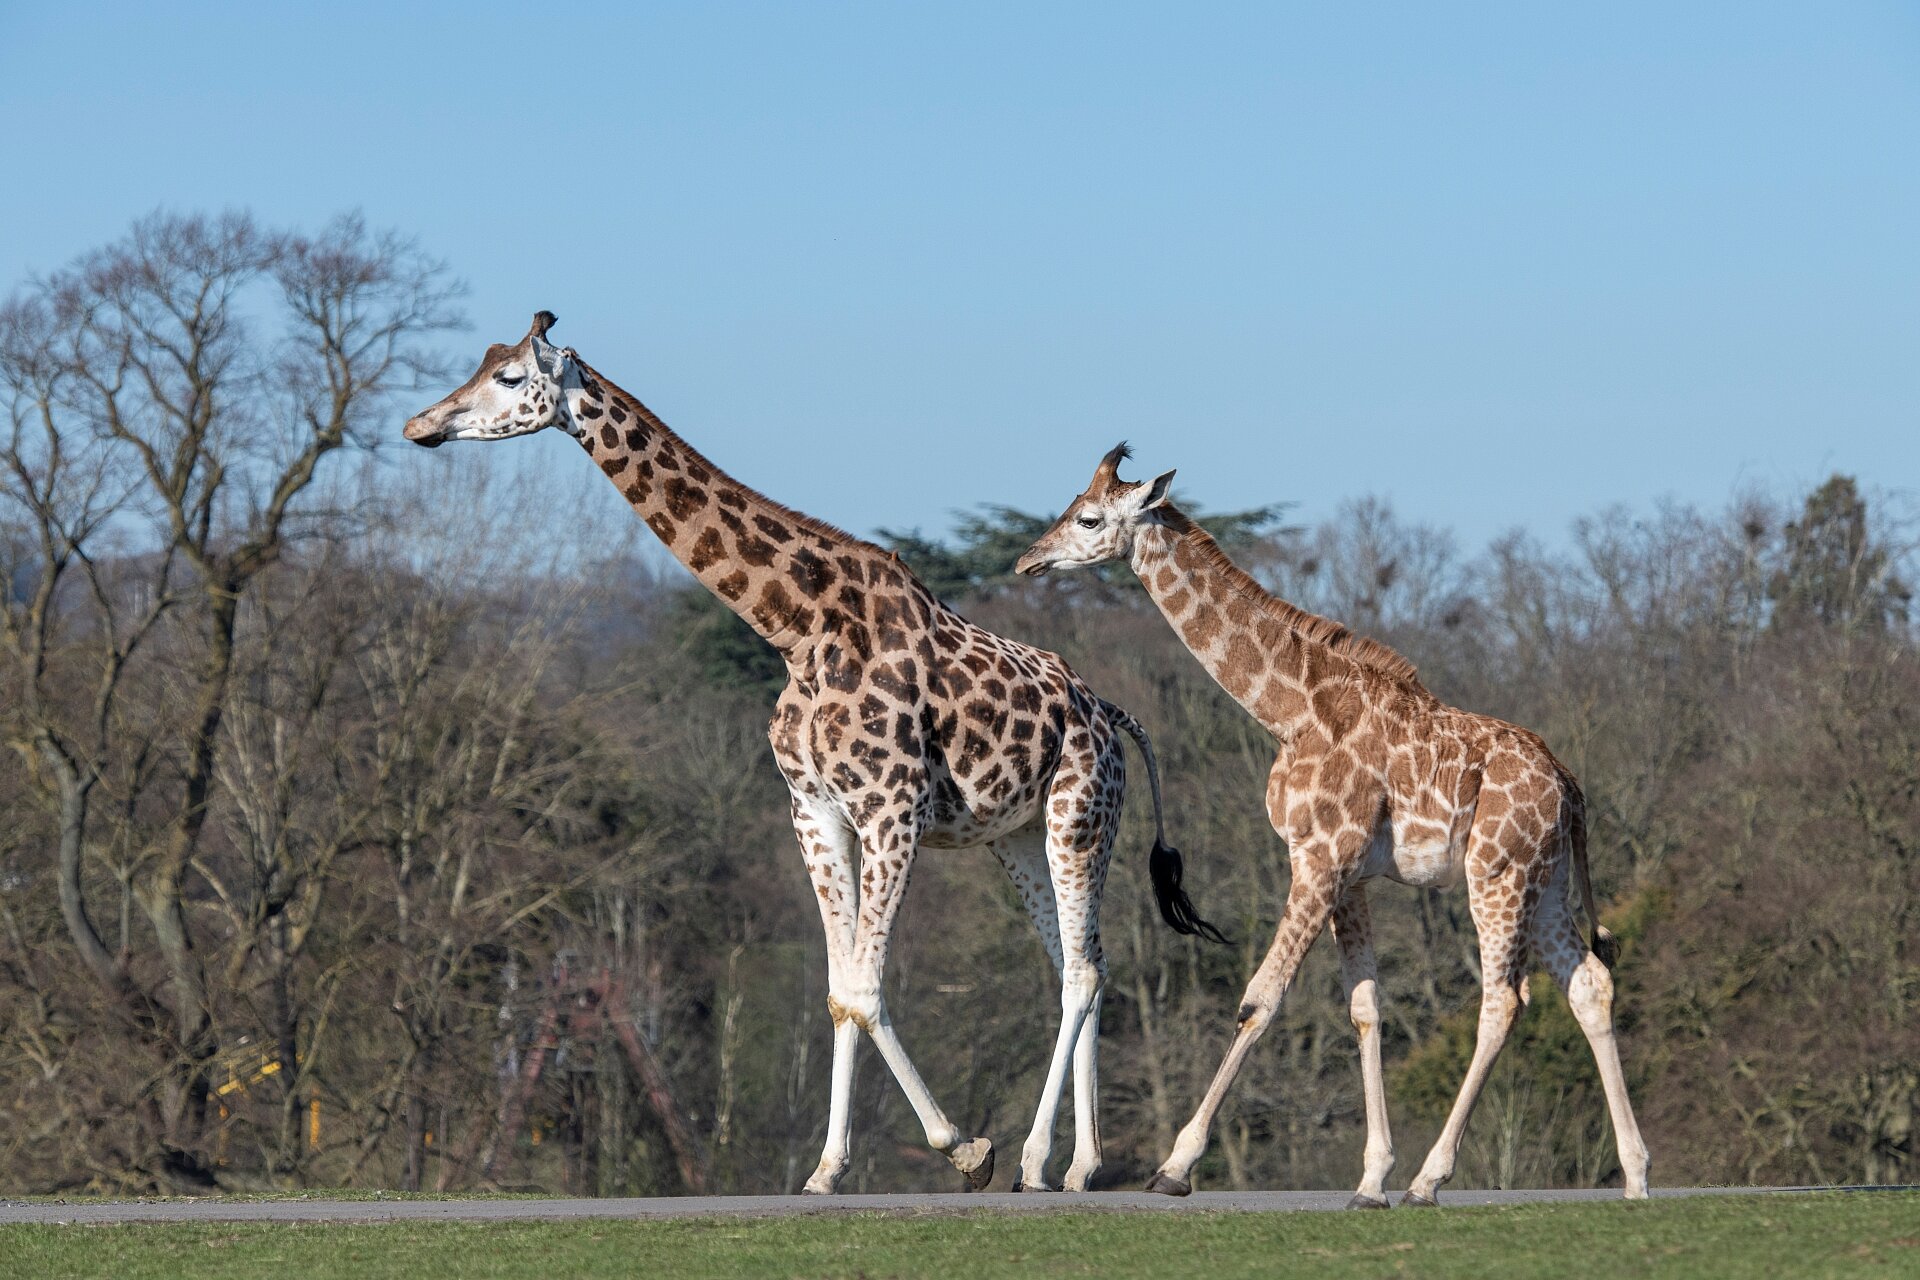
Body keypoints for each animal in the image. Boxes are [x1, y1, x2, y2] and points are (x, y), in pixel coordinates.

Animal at [401, 318, 1228, 1189]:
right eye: (480, 364)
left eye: (510, 376)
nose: (420, 425)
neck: (796, 629)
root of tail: (1111, 713)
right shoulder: (817, 813)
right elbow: (839, 993)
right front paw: (828, 1169)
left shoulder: (893, 810)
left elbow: (864, 987)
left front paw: (966, 1148)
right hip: (1016, 838)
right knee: (1080, 961)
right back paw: (1076, 1165)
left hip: (1080, 818)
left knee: (1082, 970)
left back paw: (1041, 1159)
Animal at [1013, 445, 1658, 1205]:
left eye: (1088, 517)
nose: (1028, 560)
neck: (1289, 709)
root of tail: (1570, 786)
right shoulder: (1351, 873)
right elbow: (1365, 1007)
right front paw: (1371, 1179)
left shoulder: (1318, 857)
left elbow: (1259, 1001)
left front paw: (1176, 1167)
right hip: (1546, 880)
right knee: (1588, 985)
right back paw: (1636, 1177)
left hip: (1497, 873)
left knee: (1504, 1000)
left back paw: (1430, 1179)